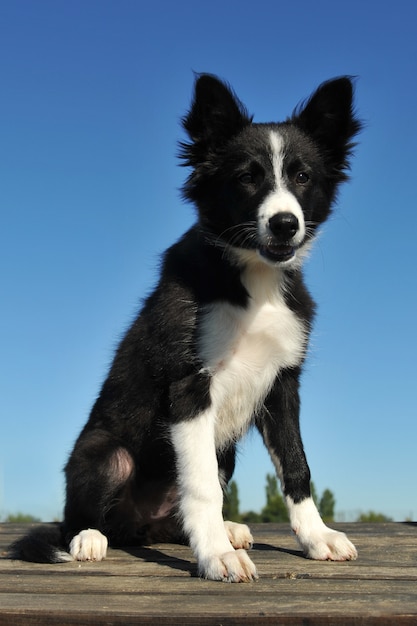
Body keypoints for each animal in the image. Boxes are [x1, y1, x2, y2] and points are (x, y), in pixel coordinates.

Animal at [9, 73, 360, 580]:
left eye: (302, 176)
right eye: (247, 177)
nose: (284, 224)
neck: (253, 278)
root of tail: (138, 526)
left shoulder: (282, 385)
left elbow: (297, 466)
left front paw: (316, 537)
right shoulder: (189, 386)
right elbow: (202, 486)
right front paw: (217, 556)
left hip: (223, 453)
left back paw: (221, 529)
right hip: (105, 453)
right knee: (83, 517)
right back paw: (88, 539)